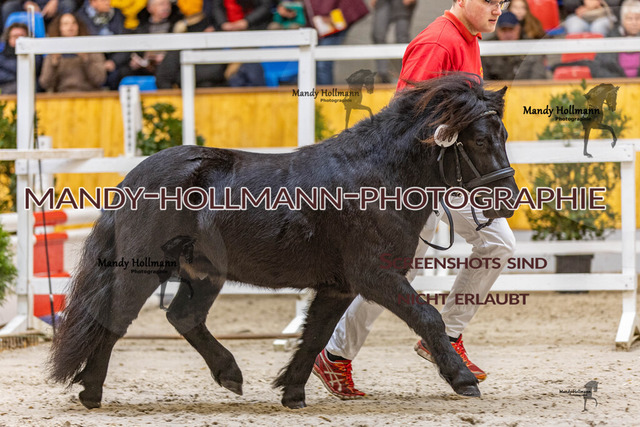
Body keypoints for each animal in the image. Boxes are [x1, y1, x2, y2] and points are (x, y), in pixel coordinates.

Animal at [48, 73, 518, 410]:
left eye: (505, 135)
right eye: (480, 139)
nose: (509, 200)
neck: (378, 177)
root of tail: (133, 178)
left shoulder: (339, 286)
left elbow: (314, 336)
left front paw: (292, 393)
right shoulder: (376, 275)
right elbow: (428, 318)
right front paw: (463, 380)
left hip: (203, 274)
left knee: (183, 317)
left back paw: (229, 375)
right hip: (141, 268)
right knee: (116, 318)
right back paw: (92, 392)